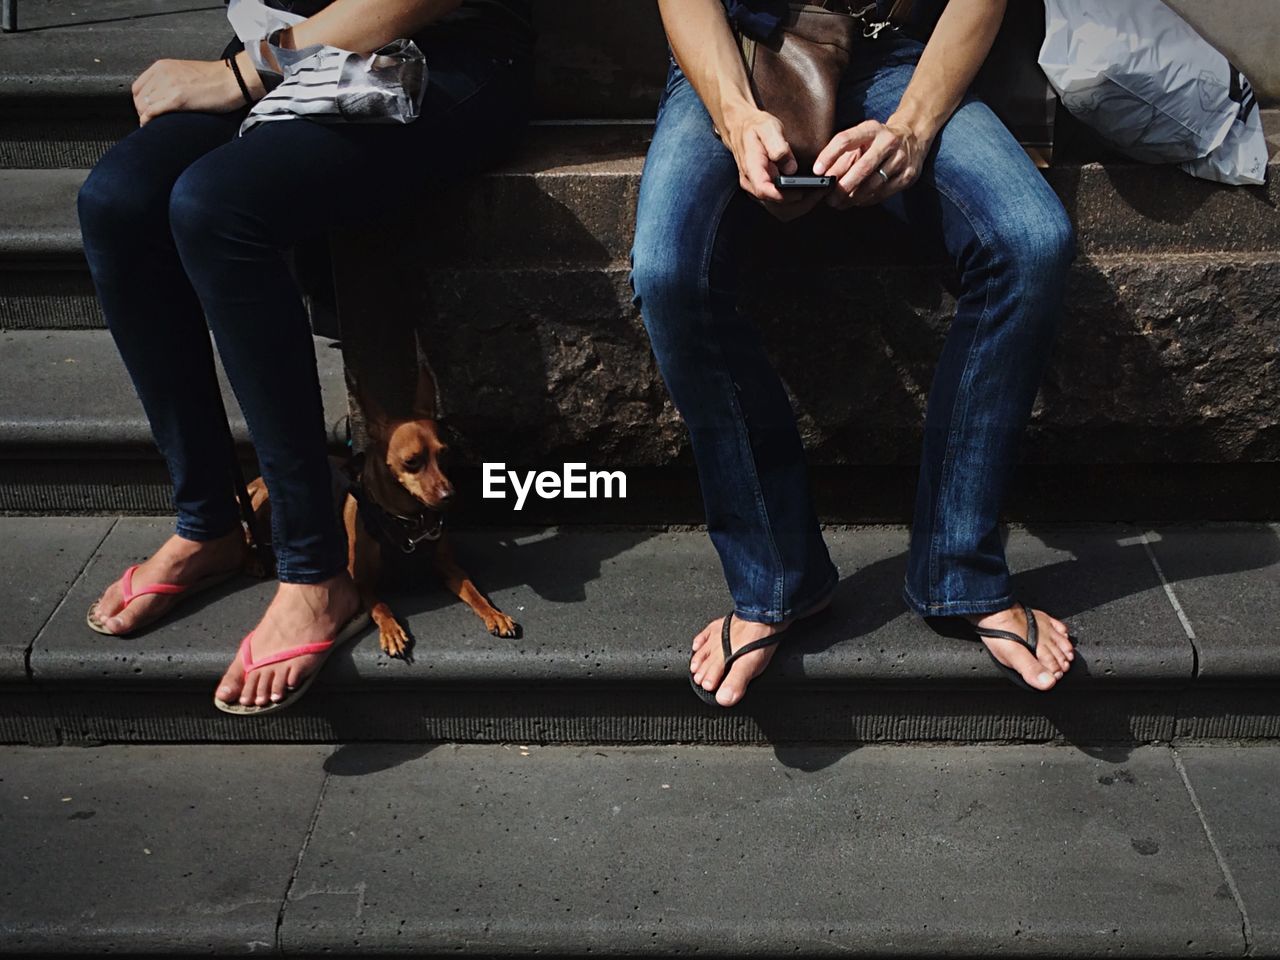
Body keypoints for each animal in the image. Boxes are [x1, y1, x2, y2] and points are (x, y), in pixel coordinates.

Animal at [244, 363, 514, 660]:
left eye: (444, 455)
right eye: (411, 462)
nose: (449, 496)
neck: (408, 522)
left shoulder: (449, 567)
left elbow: (474, 591)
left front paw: (494, 613)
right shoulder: (361, 583)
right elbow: (380, 606)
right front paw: (392, 631)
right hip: (261, 502)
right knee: (248, 535)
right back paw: (256, 561)